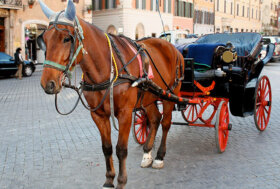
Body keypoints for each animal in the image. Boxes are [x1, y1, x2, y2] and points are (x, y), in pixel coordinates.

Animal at [38, 0, 184, 188]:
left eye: (67, 38)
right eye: (44, 40)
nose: (48, 83)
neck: (106, 69)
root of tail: (172, 47)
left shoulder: (125, 114)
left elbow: (121, 149)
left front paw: (121, 181)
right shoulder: (98, 115)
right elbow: (106, 148)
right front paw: (109, 179)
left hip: (170, 93)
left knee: (165, 122)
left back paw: (159, 156)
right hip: (148, 97)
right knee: (154, 119)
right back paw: (147, 154)